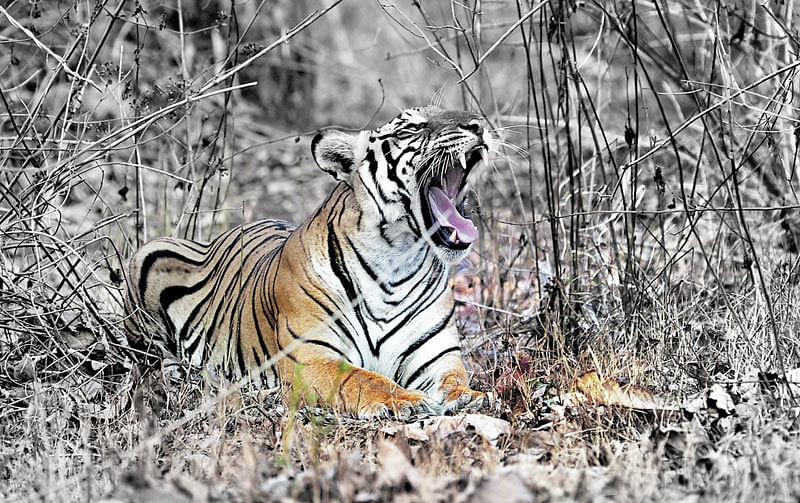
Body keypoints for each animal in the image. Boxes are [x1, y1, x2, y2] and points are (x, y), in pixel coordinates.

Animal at [126, 106, 490, 418]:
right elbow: (363, 378)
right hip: (151, 254)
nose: (478, 124)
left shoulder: (436, 356)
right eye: (411, 128)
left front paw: (471, 397)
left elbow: (454, 380)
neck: (397, 260)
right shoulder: (313, 357)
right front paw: (406, 400)